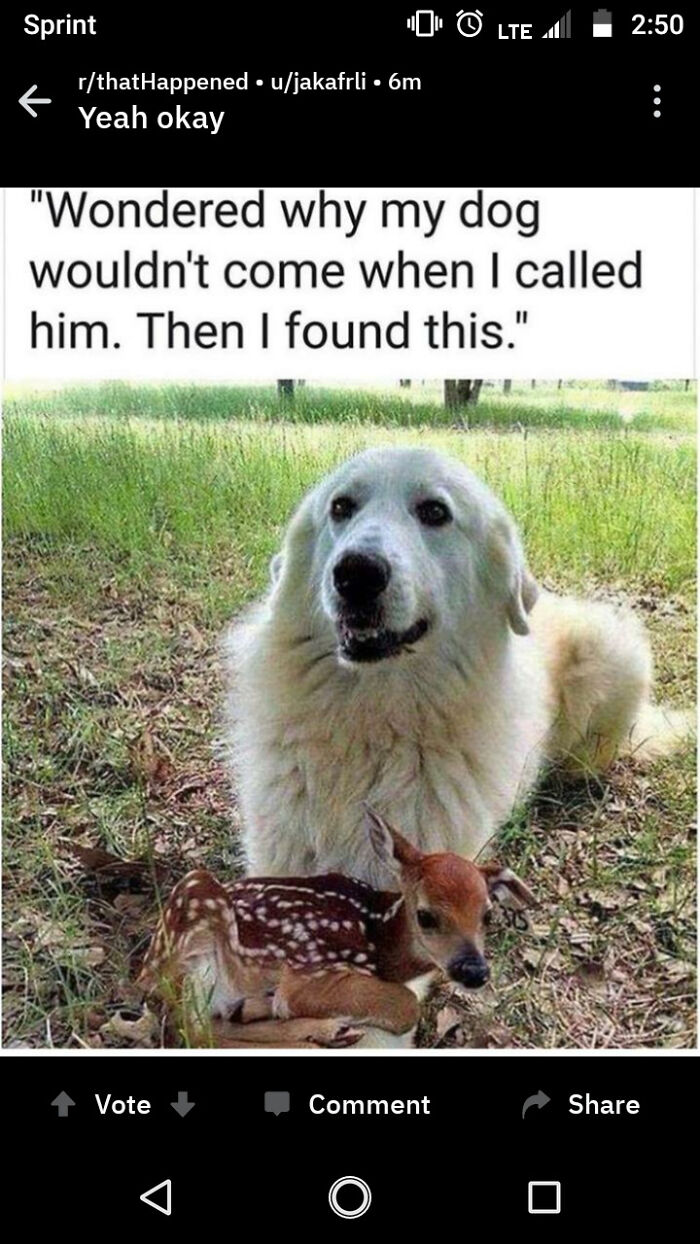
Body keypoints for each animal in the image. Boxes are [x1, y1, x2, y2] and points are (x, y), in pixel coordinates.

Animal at [138, 807, 536, 1048]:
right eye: (426, 915)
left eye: (487, 915)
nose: (474, 971)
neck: (379, 942)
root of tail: (144, 972)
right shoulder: (311, 971)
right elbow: (406, 1006)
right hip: (196, 909)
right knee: (191, 1029)